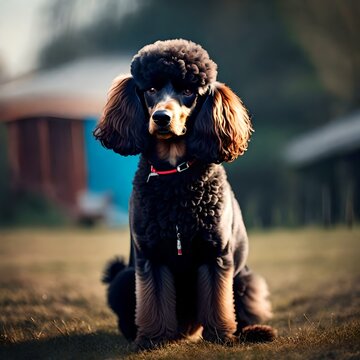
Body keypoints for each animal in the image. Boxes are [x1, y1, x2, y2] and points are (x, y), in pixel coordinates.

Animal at [93, 37, 276, 348]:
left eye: (189, 91)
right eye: (151, 89)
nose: (161, 117)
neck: (175, 176)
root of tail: (189, 330)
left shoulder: (216, 253)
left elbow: (217, 302)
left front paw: (220, 337)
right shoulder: (151, 256)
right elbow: (154, 301)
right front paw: (153, 339)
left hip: (244, 279)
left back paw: (254, 332)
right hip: (123, 279)